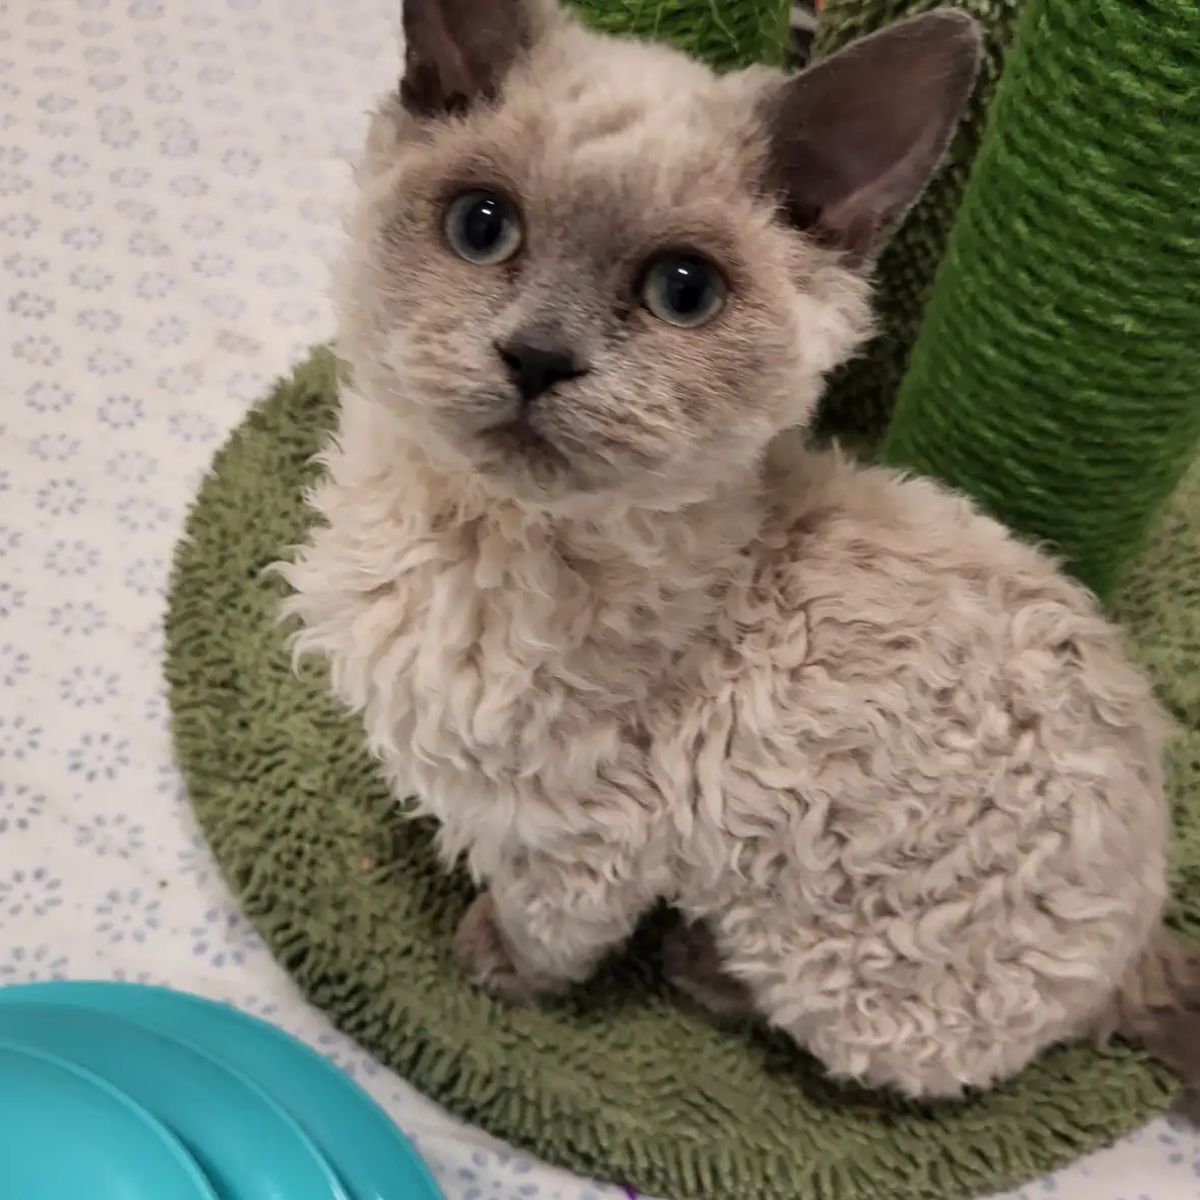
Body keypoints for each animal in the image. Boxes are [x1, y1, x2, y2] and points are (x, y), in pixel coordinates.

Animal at [283, 0, 1200, 1099]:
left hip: (832, 968)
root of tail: (1141, 939)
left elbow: (543, 932)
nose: (538, 358)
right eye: (482, 226)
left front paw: (489, 963)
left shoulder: (581, 837)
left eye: (684, 292)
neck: (475, 540)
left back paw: (698, 966)